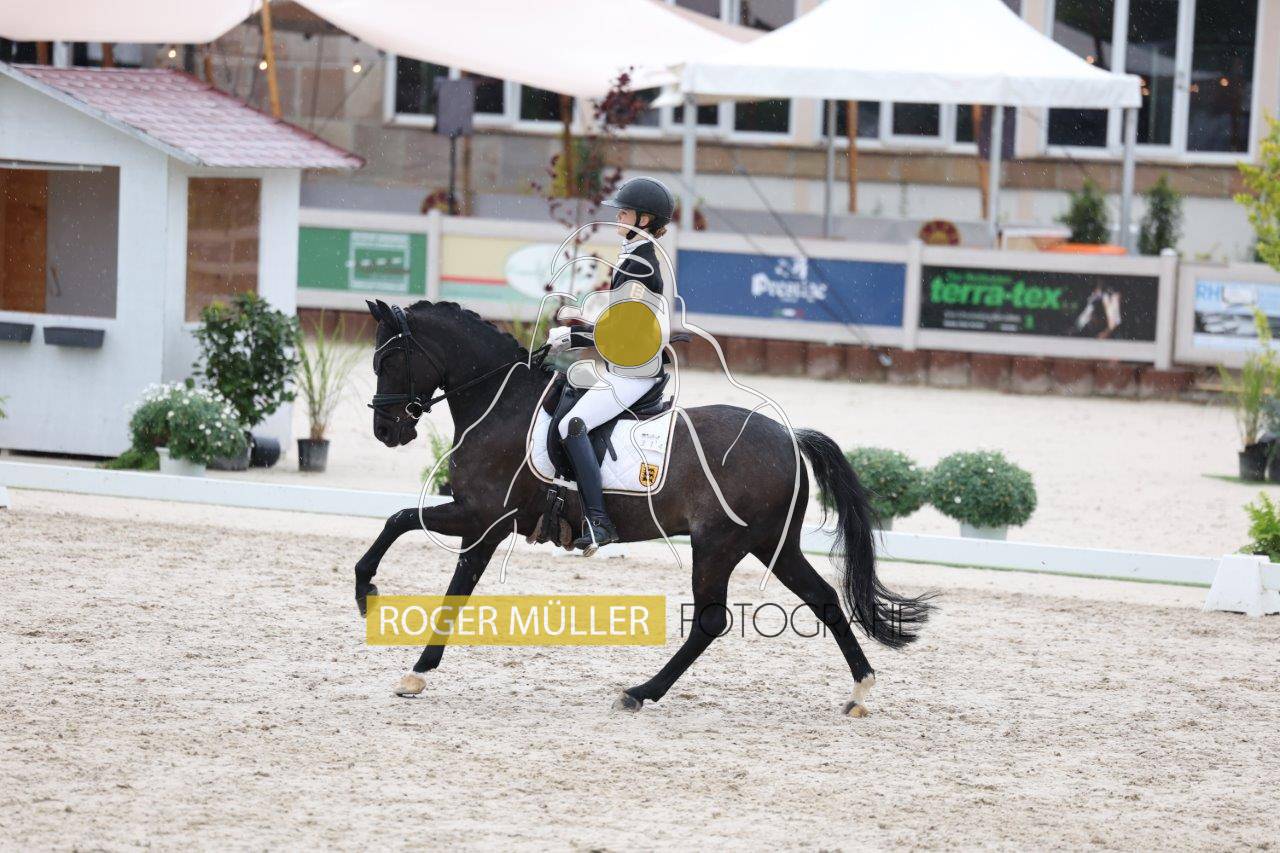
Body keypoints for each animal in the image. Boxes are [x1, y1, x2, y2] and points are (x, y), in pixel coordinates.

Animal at [354, 298, 933, 716]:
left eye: (388, 359)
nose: (385, 430)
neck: (501, 403)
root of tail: (790, 437)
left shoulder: (483, 519)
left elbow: (429, 558)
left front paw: (396, 640)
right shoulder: (477, 518)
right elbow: (408, 532)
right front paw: (379, 611)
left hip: (719, 544)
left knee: (710, 620)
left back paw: (640, 692)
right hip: (773, 544)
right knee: (824, 599)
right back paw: (860, 691)